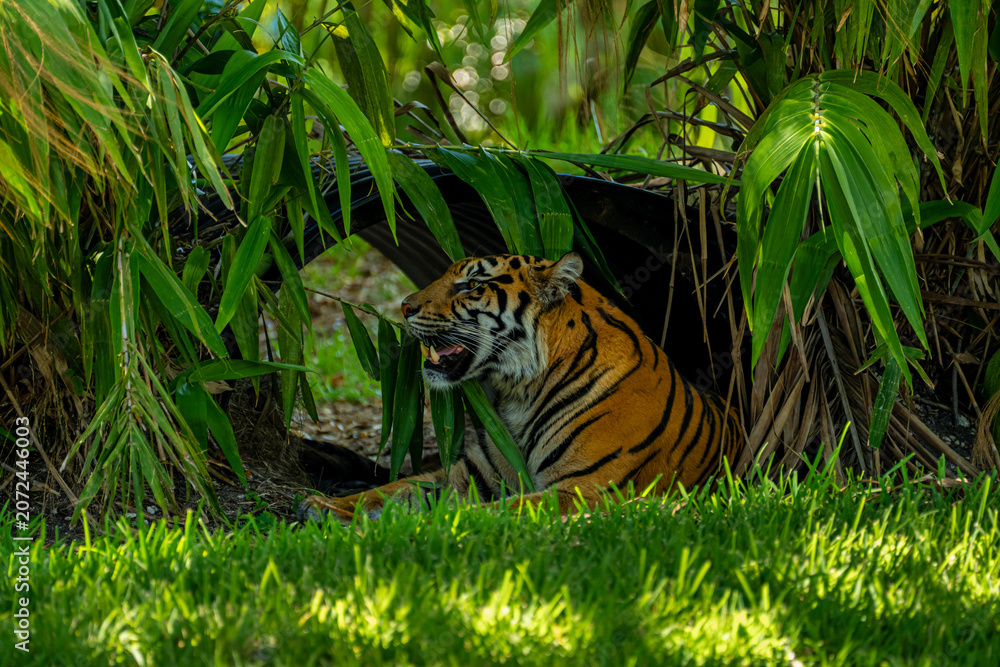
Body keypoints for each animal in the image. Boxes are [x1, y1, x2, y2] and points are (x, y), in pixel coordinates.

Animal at [297, 252, 744, 524]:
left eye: (470, 286)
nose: (405, 307)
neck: (523, 393)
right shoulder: (475, 473)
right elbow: (393, 488)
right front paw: (325, 505)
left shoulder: (584, 489)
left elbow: (490, 513)